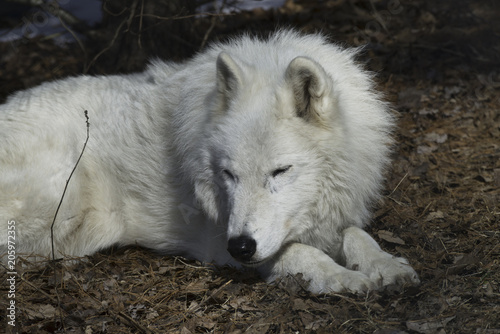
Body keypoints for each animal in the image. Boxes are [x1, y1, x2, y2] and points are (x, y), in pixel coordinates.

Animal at [0, 30, 418, 292]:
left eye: (280, 171)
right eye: (228, 174)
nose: (242, 247)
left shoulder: (335, 214)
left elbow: (356, 234)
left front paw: (387, 266)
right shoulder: (216, 240)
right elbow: (298, 251)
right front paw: (345, 279)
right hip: (62, 195)